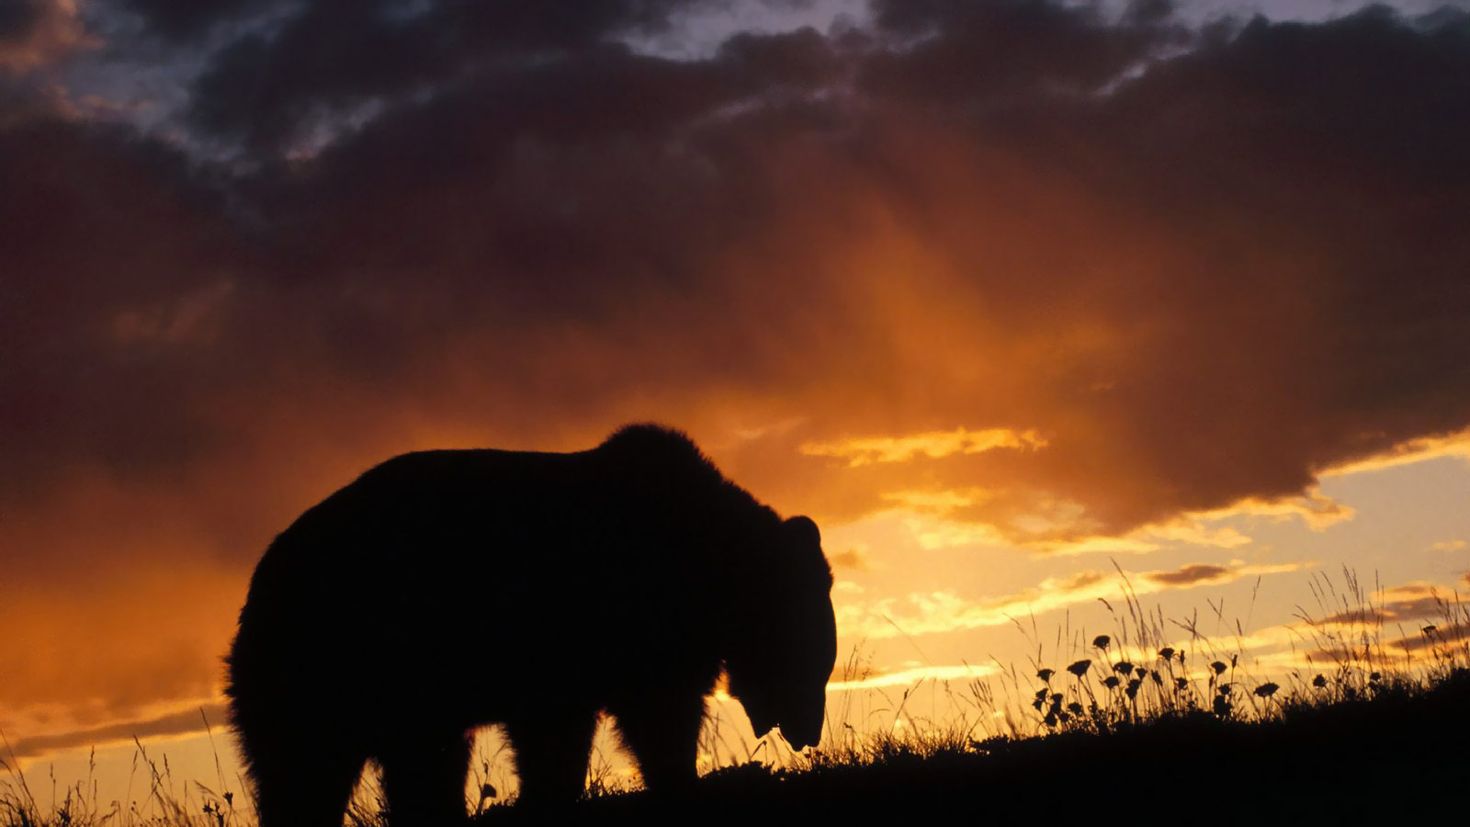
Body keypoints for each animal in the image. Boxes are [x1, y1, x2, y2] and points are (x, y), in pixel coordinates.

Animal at [221, 423, 834, 822]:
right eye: (812, 660)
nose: (810, 732)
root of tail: (261, 577)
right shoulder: (591, 628)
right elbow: (641, 718)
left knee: (416, 764)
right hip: (331, 656)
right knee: (303, 769)